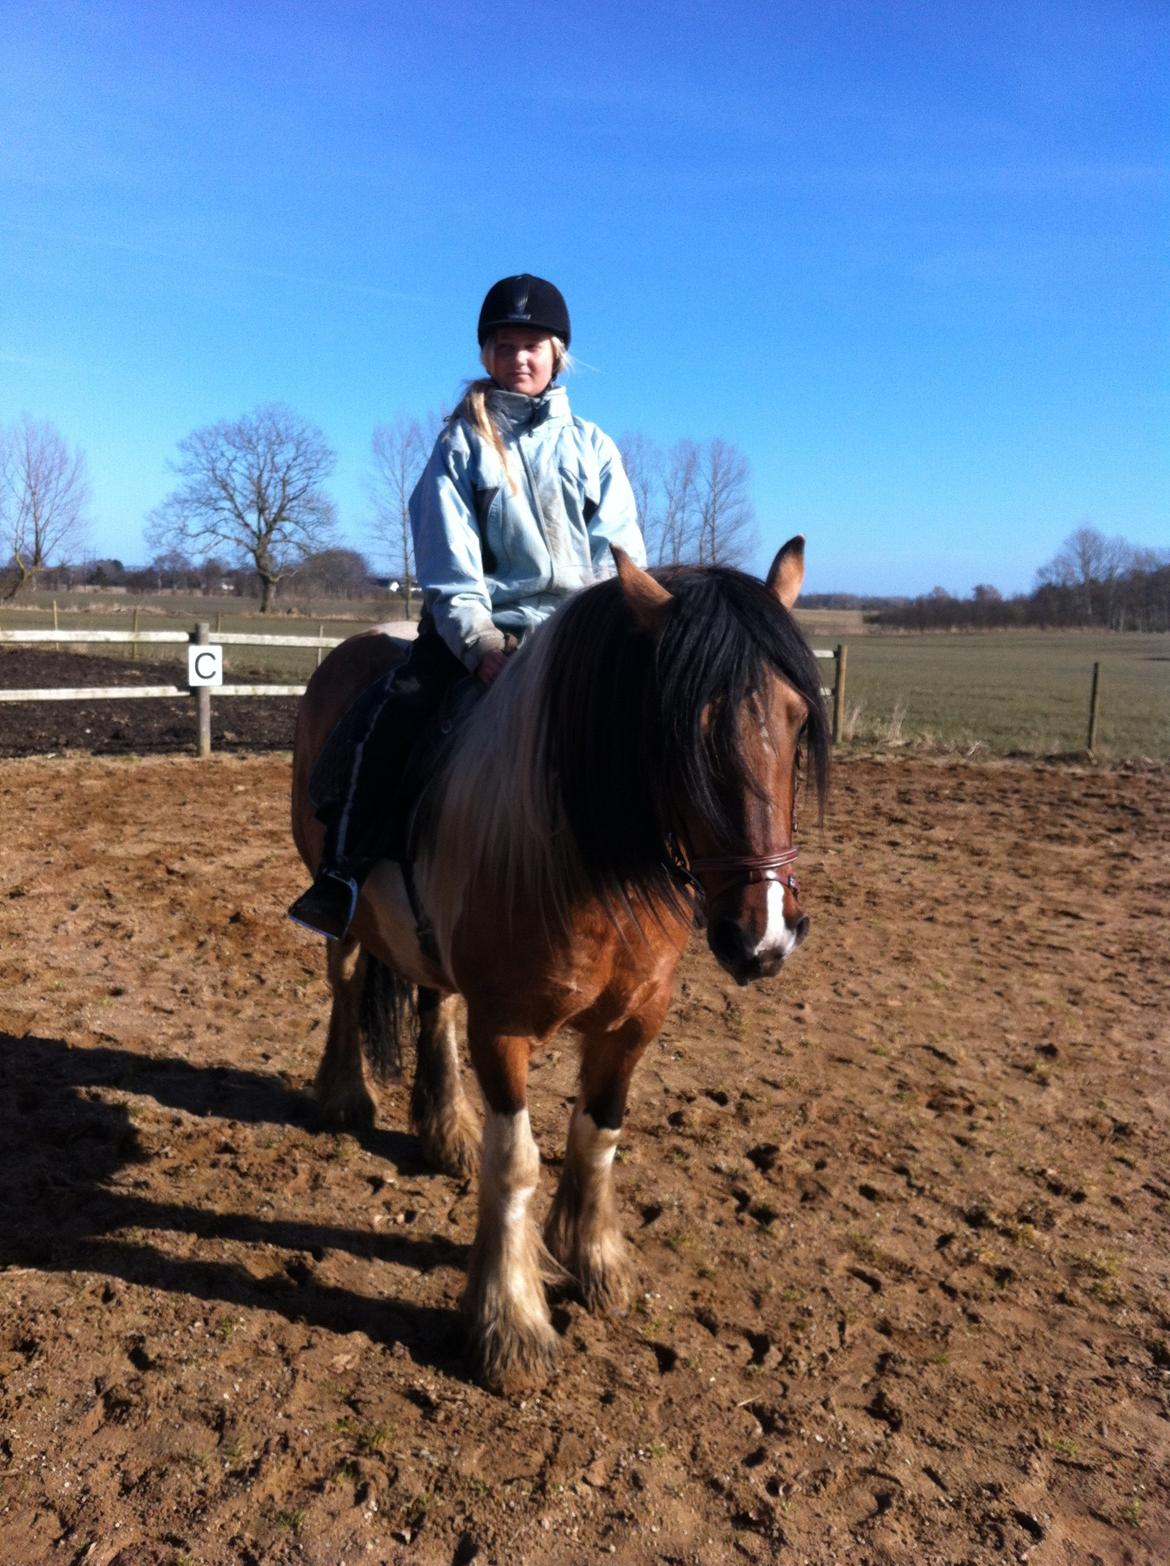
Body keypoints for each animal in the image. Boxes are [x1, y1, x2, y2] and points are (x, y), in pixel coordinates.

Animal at [288, 541, 826, 1396]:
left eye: (797, 715)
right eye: (681, 726)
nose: (765, 935)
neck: (586, 858)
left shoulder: (635, 1022)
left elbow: (596, 1134)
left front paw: (595, 1260)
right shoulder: (504, 1029)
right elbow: (516, 1163)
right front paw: (510, 1324)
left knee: (436, 1005)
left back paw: (446, 1129)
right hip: (335, 902)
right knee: (344, 983)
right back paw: (343, 1095)